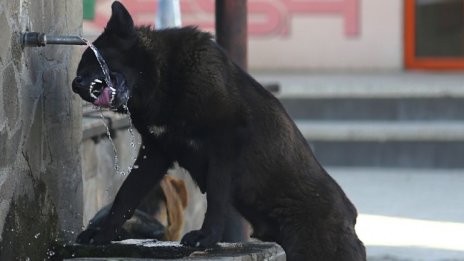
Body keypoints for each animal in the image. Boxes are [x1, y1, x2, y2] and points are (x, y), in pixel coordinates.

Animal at [72, 2, 366, 260]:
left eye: (92, 60)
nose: (75, 85)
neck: (164, 79)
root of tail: (351, 217)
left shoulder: (224, 144)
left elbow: (215, 196)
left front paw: (207, 238)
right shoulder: (155, 154)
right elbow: (125, 196)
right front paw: (102, 234)